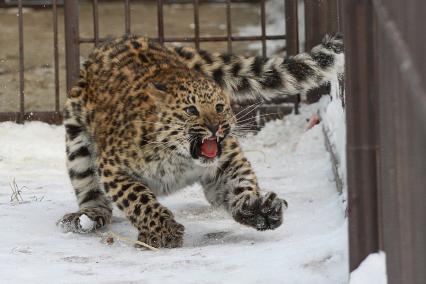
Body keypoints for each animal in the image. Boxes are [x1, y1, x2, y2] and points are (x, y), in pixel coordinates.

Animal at [57, 33, 342, 248]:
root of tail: (123, 38)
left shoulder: (225, 163)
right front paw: (163, 232)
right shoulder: (113, 167)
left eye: (220, 107)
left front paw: (257, 208)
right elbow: (139, 199)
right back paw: (86, 217)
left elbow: (239, 184)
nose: (216, 127)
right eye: (191, 110)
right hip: (77, 141)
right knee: (89, 187)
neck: (178, 159)